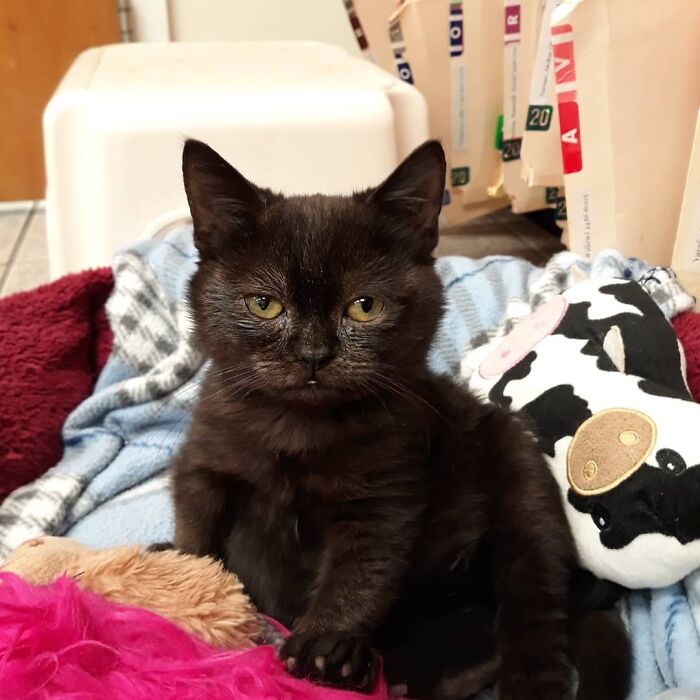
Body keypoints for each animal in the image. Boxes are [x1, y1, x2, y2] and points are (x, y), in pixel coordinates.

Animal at [168, 139, 628, 696]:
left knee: (532, 623)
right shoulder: (202, 465)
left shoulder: (384, 496)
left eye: (364, 307)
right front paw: (191, 592)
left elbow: (360, 573)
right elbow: (196, 535)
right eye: (263, 304)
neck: (296, 428)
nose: (313, 354)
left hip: (524, 488)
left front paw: (323, 644)